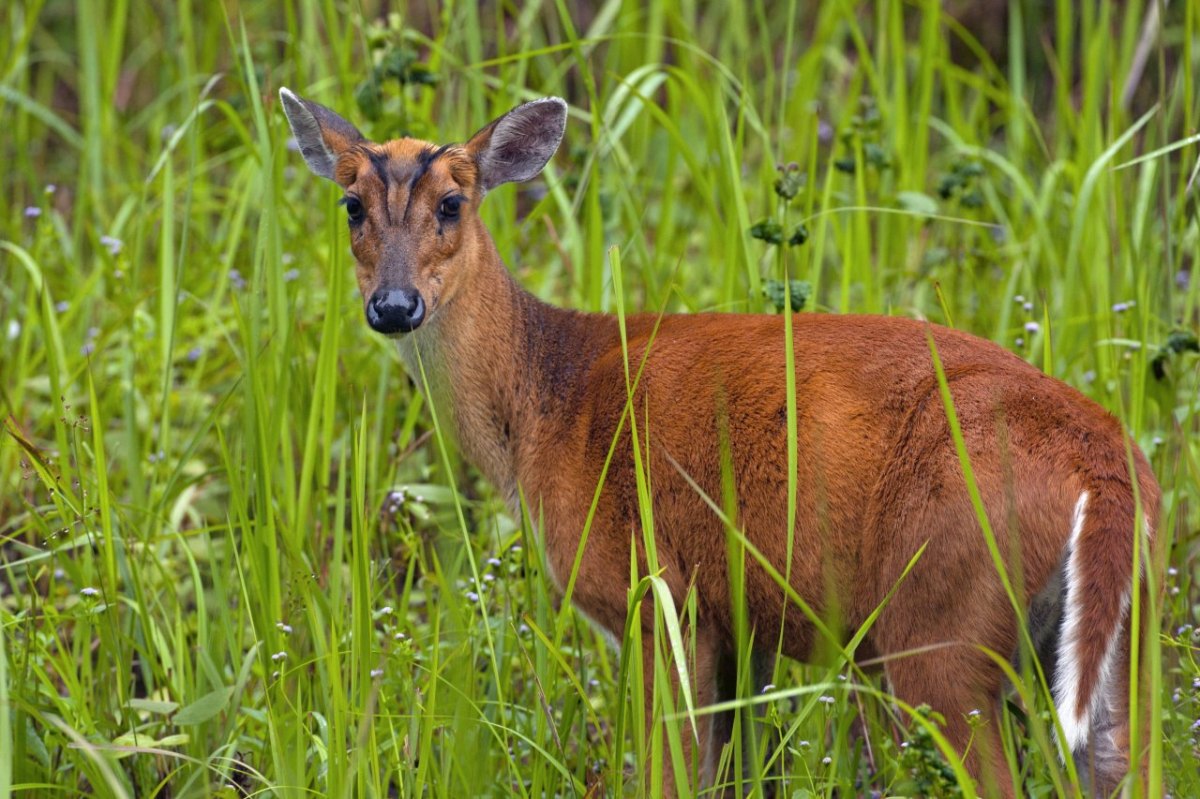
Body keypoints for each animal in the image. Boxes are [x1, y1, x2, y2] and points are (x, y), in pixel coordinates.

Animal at [280, 89, 1161, 791]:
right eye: (351, 204)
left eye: (453, 203)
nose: (395, 305)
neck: (547, 404)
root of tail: (1107, 469)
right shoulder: (743, 620)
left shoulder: (658, 592)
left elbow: (667, 772)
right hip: (1122, 634)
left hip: (939, 621)